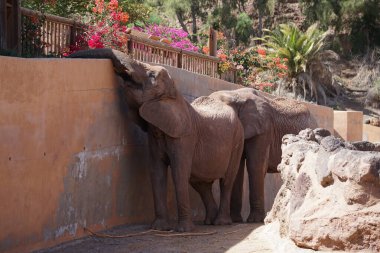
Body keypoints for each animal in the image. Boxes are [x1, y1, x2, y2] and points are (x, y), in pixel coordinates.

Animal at [68, 48, 243, 232]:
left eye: (152, 75)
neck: (175, 96)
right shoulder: (154, 136)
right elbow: (157, 171)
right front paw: (159, 228)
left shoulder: (185, 137)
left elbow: (179, 173)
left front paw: (183, 230)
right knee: (201, 184)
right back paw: (209, 221)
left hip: (238, 141)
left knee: (226, 181)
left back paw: (221, 222)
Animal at [209, 88, 316, 222]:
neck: (235, 95)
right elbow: (237, 168)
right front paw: (236, 220)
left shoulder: (263, 129)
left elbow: (256, 166)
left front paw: (254, 220)